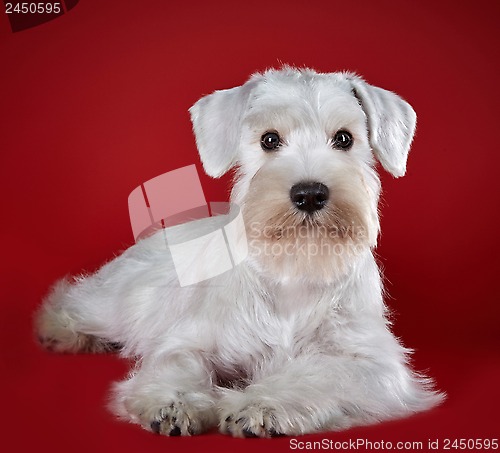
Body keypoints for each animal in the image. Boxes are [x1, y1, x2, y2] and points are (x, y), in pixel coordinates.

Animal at [35, 67, 442, 438]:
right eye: (269, 139)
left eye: (344, 138)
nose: (309, 194)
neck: (294, 270)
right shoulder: (190, 339)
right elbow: (179, 363)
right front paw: (173, 403)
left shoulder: (373, 364)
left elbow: (319, 374)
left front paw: (262, 406)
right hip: (112, 301)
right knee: (74, 300)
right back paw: (62, 332)